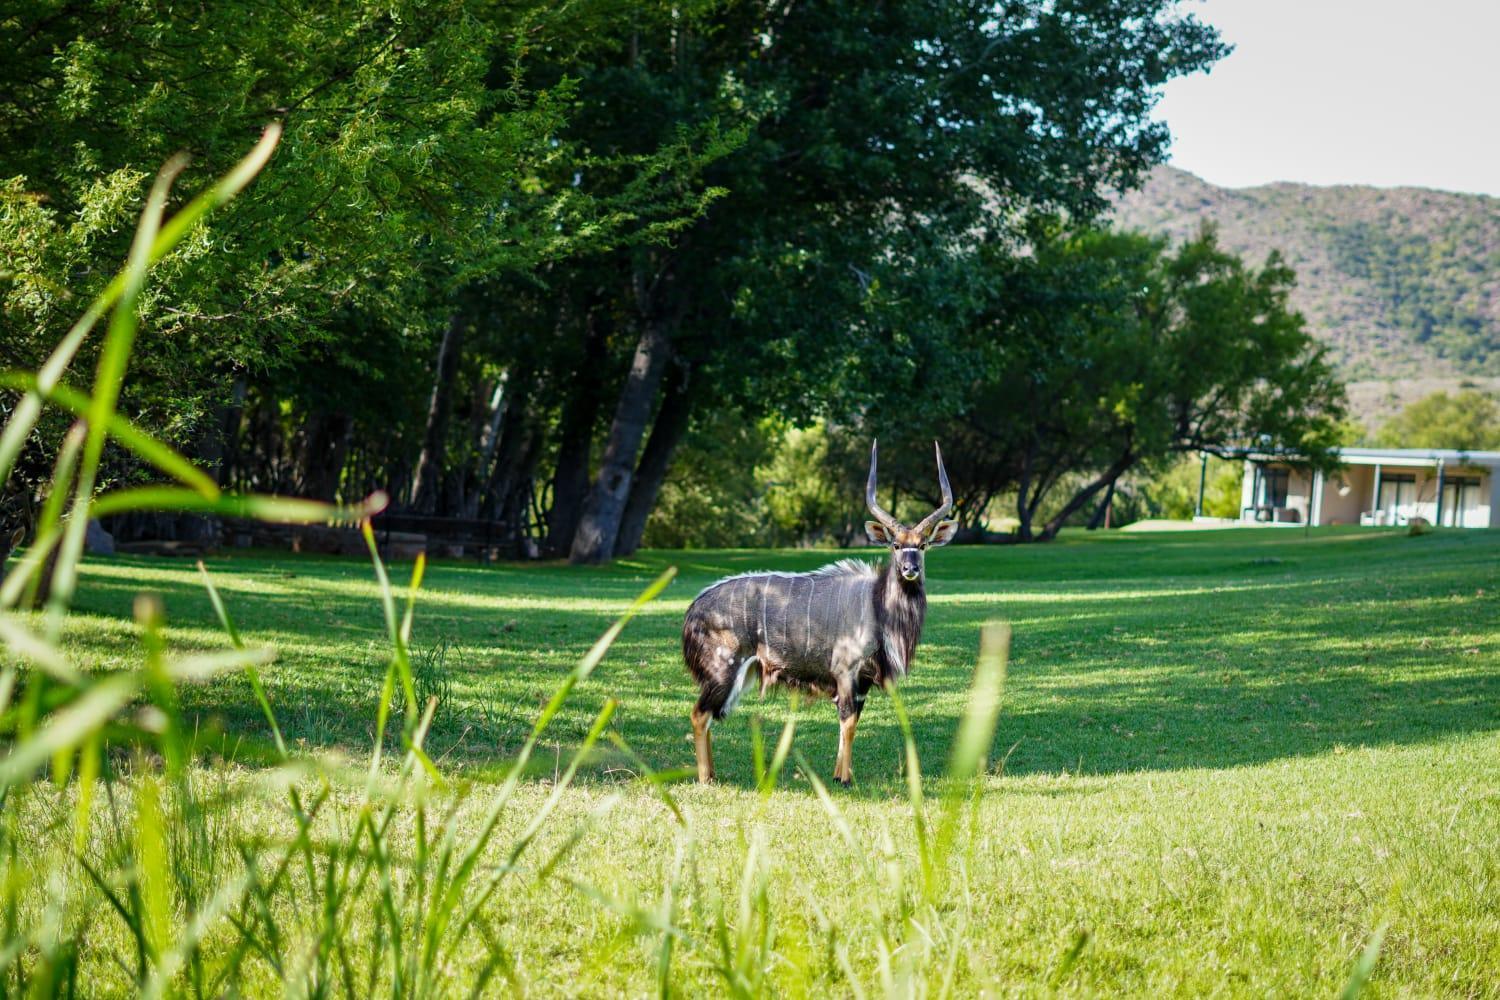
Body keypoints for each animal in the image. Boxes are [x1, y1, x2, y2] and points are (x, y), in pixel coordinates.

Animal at [684, 440, 954, 785]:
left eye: (922, 545)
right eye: (895, 545)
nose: (910, 569)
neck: (876, 605)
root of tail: (693, 609)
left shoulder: (862, 681)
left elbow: (850, 722)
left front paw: (839, 774)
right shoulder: (847, 672)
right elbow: (848, 722)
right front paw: (844, 779)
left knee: (705, 716)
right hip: (723, 670)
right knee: (699, 714)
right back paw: (706, 778)